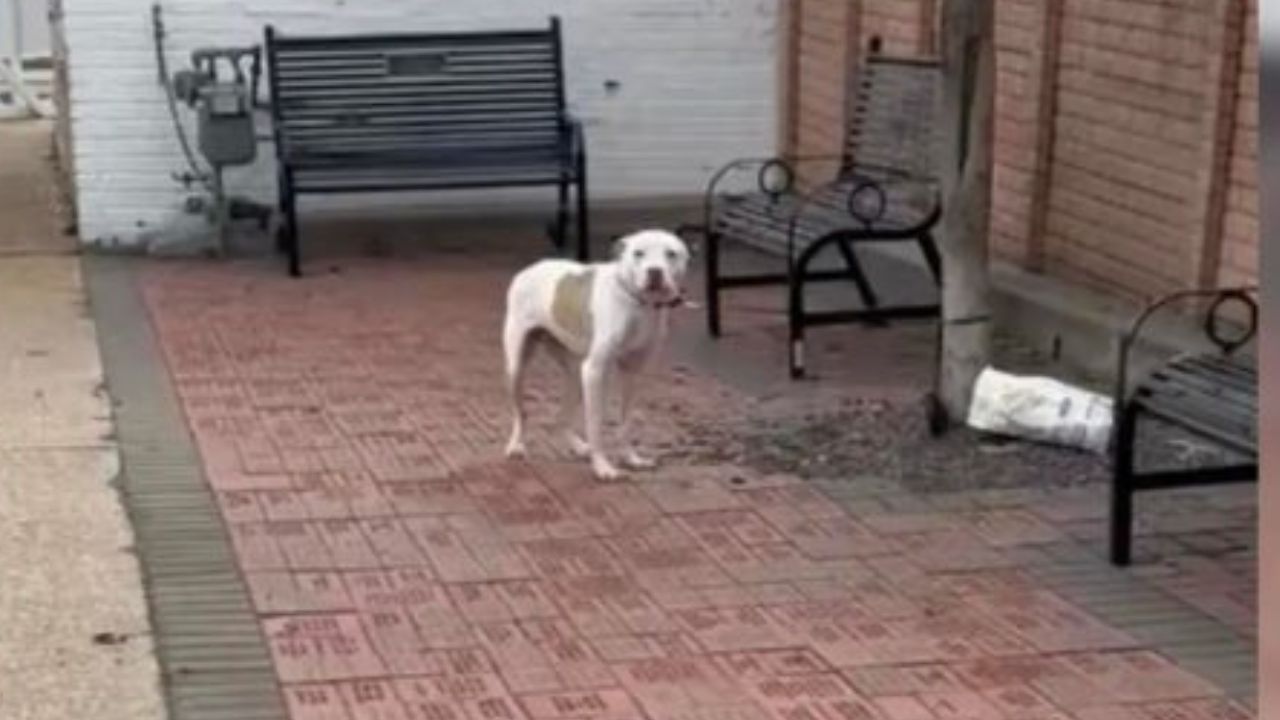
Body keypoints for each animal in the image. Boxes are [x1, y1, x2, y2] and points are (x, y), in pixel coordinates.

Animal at [504, 226, 696, 479]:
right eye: (638, 253)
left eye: (671, 254)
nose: (654, 272)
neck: (636, 303)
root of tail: (529, 269)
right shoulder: (595, 371)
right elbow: (595, 423)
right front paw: (603, 467)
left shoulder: (632, 373)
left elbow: (626, 422)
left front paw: (631, 458)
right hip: (518, 367)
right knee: (521, 413)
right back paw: (516, 446)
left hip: (575, 374)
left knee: (561, 418)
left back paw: (577, 446)